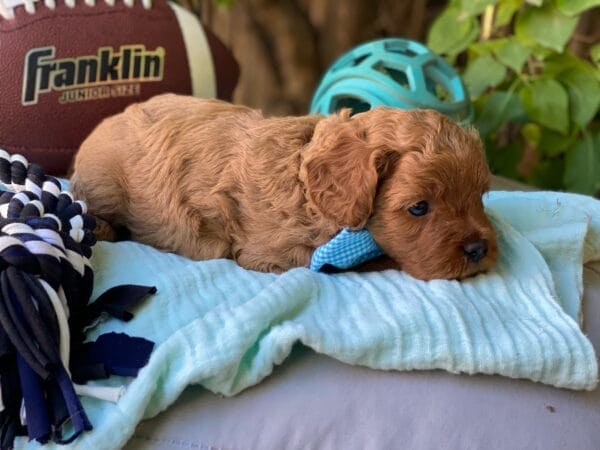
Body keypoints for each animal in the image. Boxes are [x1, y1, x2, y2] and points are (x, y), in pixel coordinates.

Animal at [71, 93, 496, 280]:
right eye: (419, 207)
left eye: (479, 197)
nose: (479, 249)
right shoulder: (275, 252)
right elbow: (366, 260)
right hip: (104, 184)